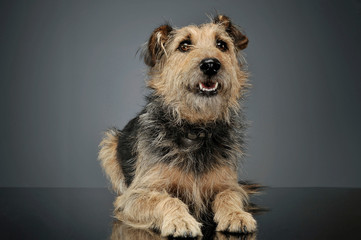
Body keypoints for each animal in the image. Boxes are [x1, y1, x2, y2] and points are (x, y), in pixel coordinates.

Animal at [98, 15, 256, 238]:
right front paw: (180, 221)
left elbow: (228, 195)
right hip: (109, 143)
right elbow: (166, 199)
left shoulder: (229, 185)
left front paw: (237, 215)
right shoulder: (134, 196)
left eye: (221, 45)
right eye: (184, 45)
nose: (211, 65)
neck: (195, 128)